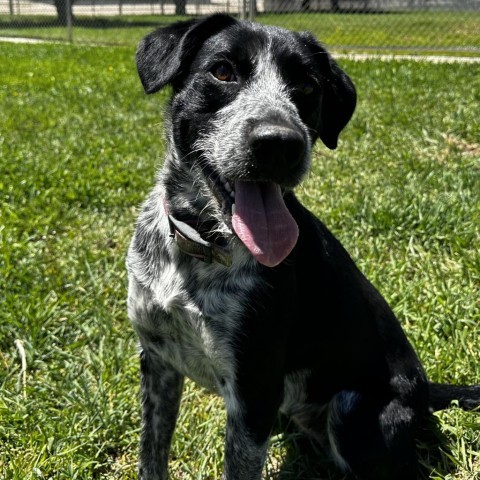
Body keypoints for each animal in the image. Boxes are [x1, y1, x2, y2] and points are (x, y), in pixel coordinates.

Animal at [127, 14, 480, 480]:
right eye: (222, 71)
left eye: (308, 87)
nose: (280, 143)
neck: (200, 246)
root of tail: (425, 394)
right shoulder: (157, 361)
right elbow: (151, 451)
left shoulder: (254, 391)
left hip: (351, 413)